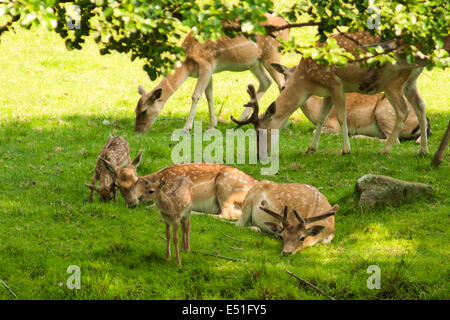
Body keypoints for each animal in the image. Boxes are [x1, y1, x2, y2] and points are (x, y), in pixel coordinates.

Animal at [134, 13, 288, 133]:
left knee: (282, 84)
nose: (138, 130)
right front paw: (212, 125)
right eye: (135, 110)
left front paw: (186, 128)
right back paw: (242, 119)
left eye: (144, 111)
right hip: (255, 62)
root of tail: (286, 24)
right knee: (266, 81)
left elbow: (196, 95)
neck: (188, 64)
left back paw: (283, 124)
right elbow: (209, 95)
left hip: (272, 53)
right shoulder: (210, 71)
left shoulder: (206, 65)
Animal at [268, 62, 430, 142]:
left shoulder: (333, 124)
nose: (283, 87)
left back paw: (358, 136)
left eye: (298, 74)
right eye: (284, 73)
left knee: (394, 140)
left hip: (384, 113)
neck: (315, 110)